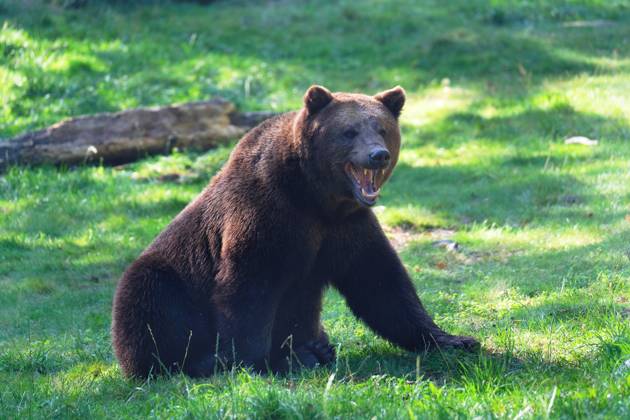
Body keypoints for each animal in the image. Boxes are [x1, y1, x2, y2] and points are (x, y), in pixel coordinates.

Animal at [112, 85, 478, 378]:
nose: (378, 155)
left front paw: (455, 339)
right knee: (150, 302)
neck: (315, 198)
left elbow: (382, 284)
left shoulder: (347, 227)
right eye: (349, 131)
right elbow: (249, 290)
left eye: (383, 128)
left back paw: (315, 349)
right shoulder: (266, 217)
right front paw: (257, 362)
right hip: (169, 278)